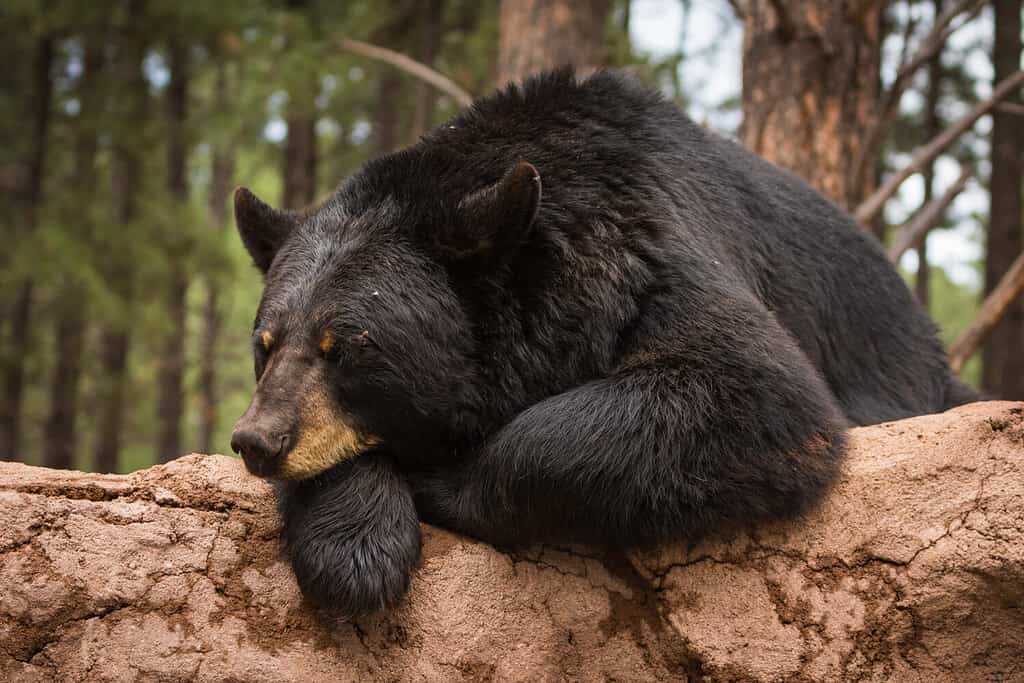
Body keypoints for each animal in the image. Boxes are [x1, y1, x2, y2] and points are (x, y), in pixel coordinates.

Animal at [229, 69, 976, 617]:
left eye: (347, 346)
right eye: (266, 343)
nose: (256, 441)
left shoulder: (650, 245)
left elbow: (756, 389)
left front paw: (441, 479)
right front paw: (355, 548)